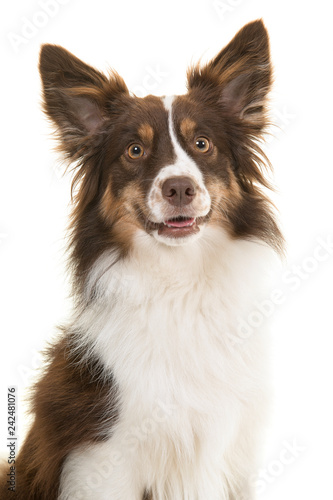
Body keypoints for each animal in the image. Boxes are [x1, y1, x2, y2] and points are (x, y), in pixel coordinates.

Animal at [0, 19, 282, 500]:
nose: (180, 187)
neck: (179, 281)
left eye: (202, 144)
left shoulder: (226, 453)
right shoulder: (103, 457)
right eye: (134, 150)